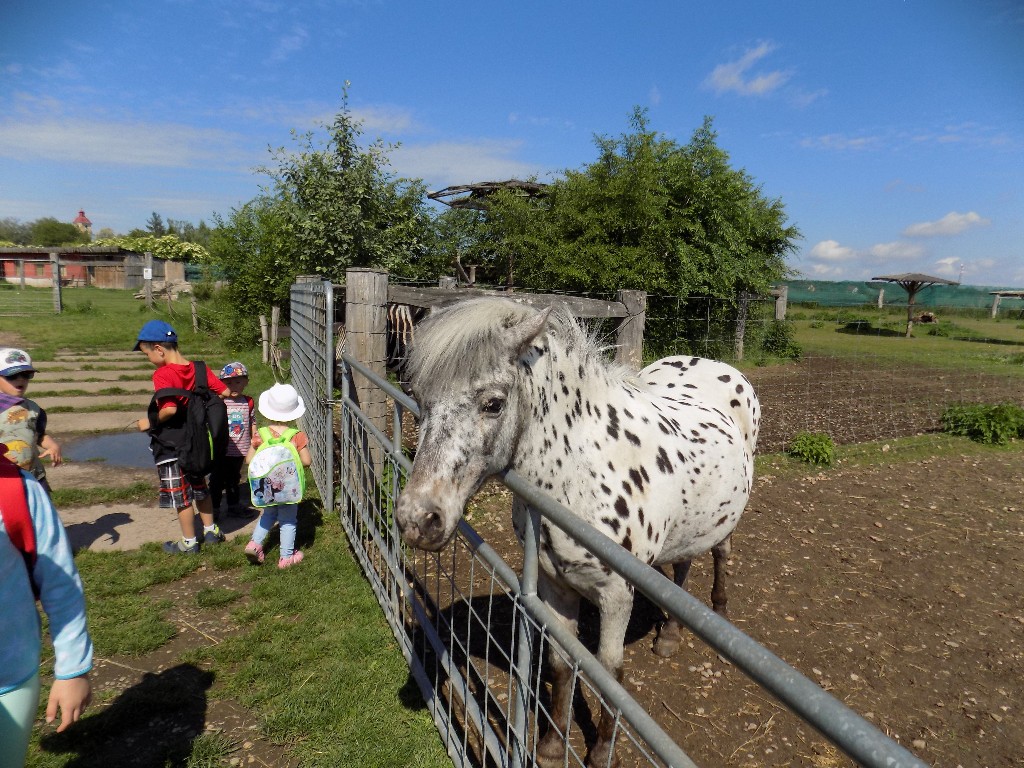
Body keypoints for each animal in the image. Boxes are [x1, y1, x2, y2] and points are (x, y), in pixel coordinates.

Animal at [394, 298, 760, 768]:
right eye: (420, 399)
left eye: (493, 404)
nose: (417, 519)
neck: (581, 473)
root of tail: (720, 367)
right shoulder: (555, 587)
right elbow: (560, 662)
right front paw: (552, 745)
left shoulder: (617, 595)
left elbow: (610, 675)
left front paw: (602, 752)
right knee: (682, 564)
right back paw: (670, 635)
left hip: (725, 520)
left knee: (719, 554)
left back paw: (718, 609)